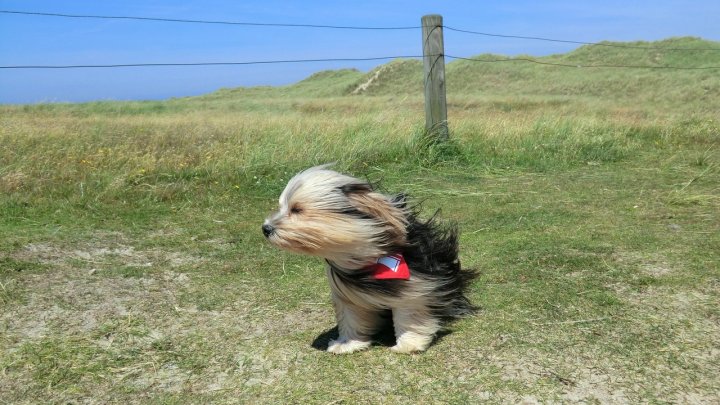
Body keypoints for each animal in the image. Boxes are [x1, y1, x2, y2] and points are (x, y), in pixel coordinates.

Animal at [262, 164, 476, 354]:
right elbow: (351, 317)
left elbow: (410, 313)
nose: (265, 228)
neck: (365, 256)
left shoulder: (416, 285)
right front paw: (347, 344)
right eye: (281, 207)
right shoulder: (347, 295)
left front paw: (408, 344)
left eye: (297, 209)